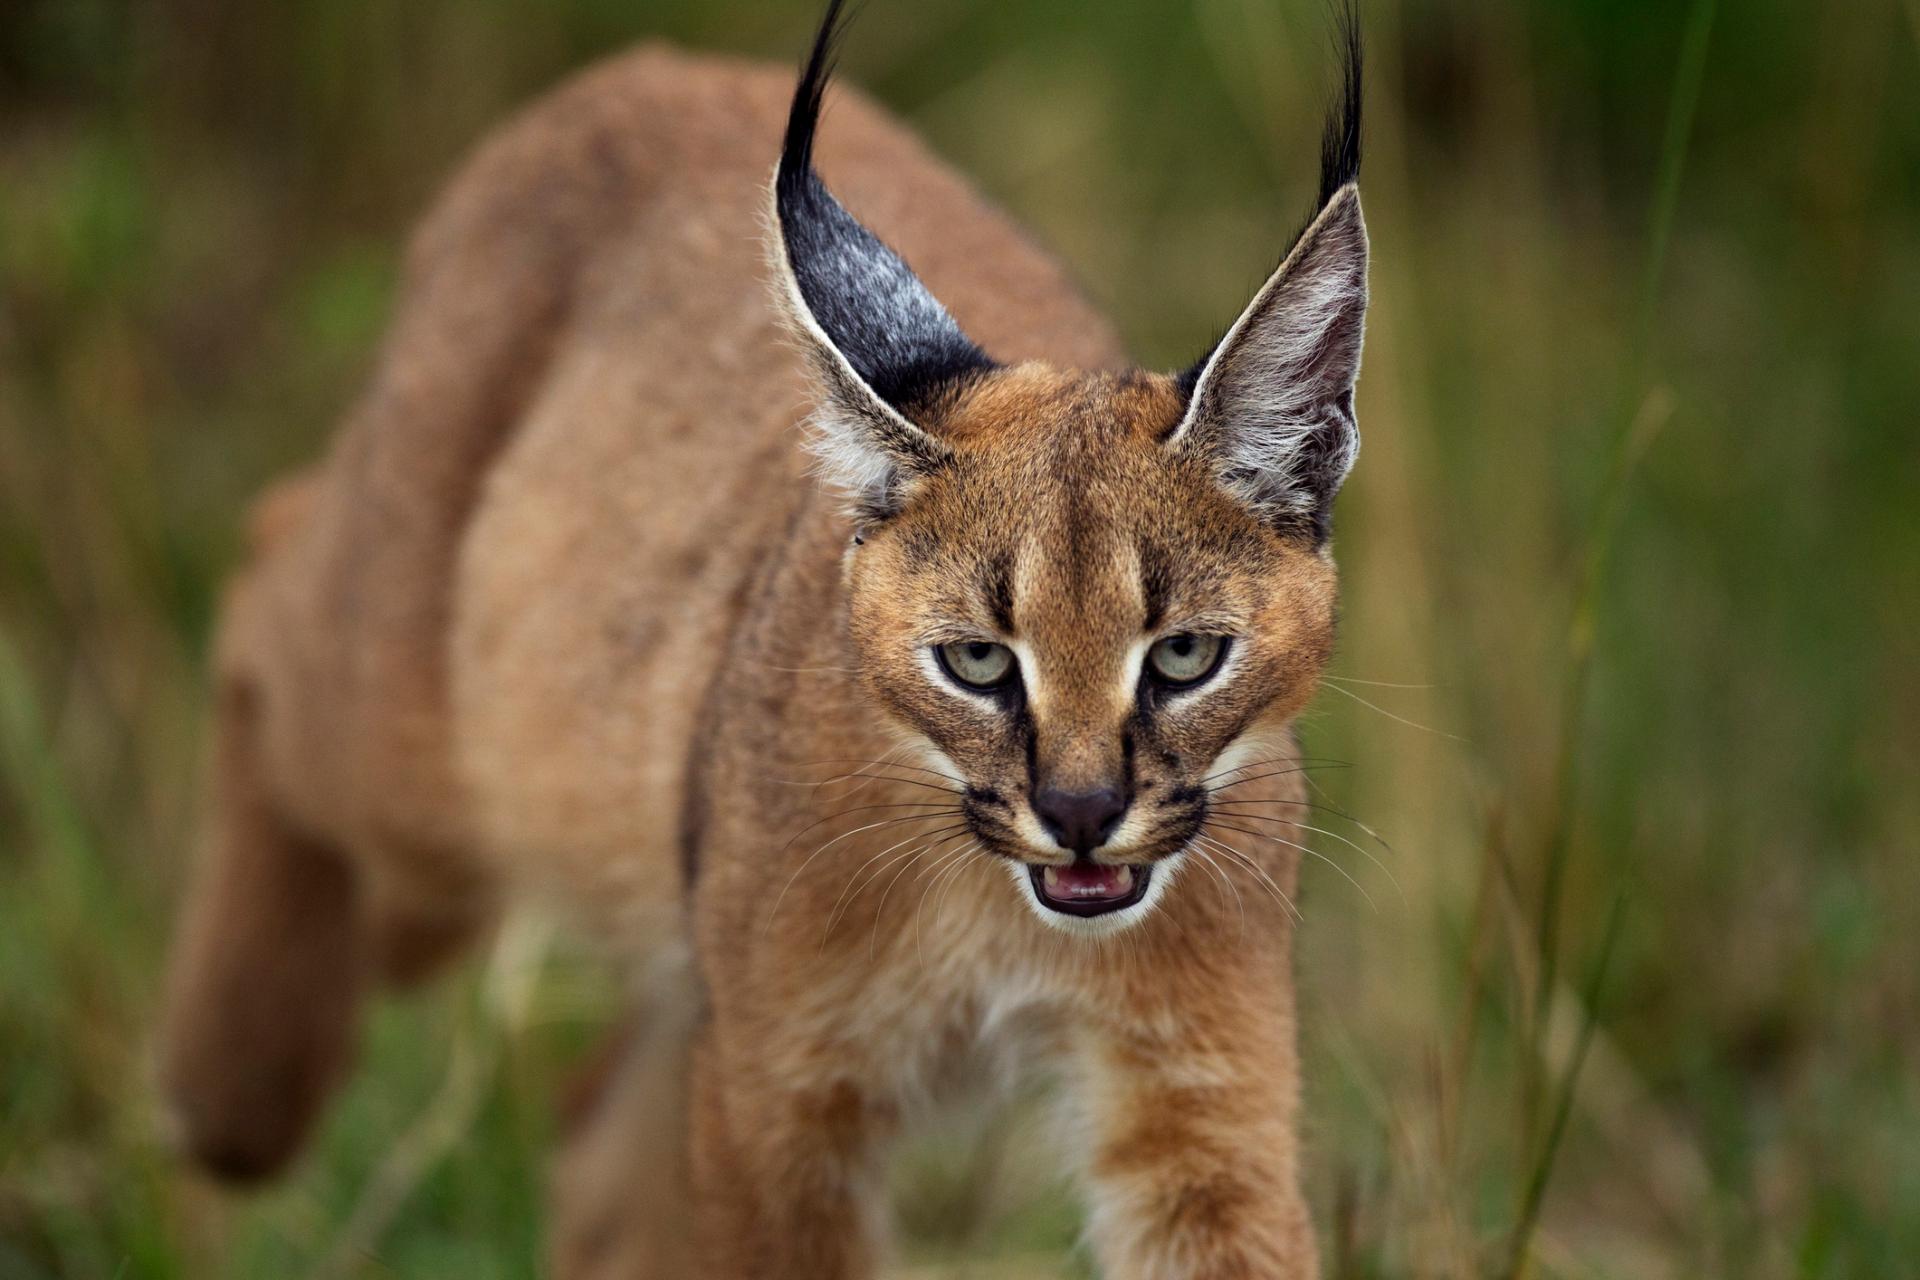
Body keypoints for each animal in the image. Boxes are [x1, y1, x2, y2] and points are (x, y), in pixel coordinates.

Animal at [161, 2, 1367, 1280]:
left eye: (1184, 656)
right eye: (977, 661)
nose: (1081, 814)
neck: (1001, 916)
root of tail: (643, 68)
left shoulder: (1200, 1113)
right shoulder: (778, 1106)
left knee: (595, 1137)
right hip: (427, 774)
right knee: (266, 558)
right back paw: (230, 1092)